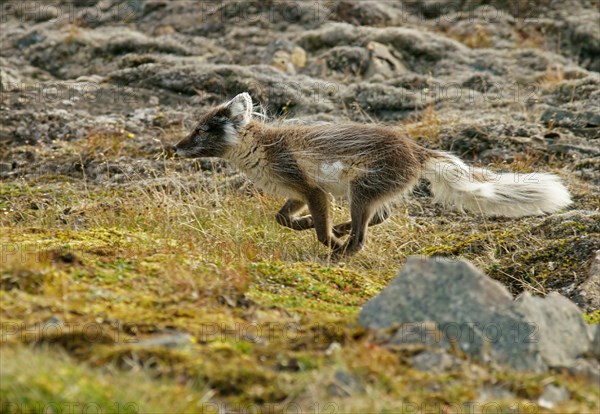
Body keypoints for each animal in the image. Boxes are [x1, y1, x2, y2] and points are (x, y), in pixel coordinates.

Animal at [173, 92, 572, 258]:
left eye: (202, 130)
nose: (175, 147)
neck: (262, 149)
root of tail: (417, 149)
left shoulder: (311, 190)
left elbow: (319, 229)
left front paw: (328, 239)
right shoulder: (299, 191)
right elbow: (282, 219)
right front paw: (309, 226)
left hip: (361, 188)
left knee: (365, 234)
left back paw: (340, 253)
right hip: (365, 192)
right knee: (382, 215)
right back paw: (344, 231)